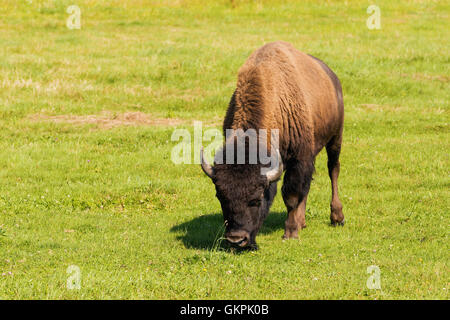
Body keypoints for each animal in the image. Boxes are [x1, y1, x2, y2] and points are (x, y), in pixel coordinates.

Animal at [200, 40, 344, 250]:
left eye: (257, 199)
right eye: (220, 196)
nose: (236, 239)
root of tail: (332, 76)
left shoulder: (299, 158)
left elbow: (291, 196)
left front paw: (290, 233)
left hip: (335, 138)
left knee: (333, 169)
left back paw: (337, 217)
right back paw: (303, 221)